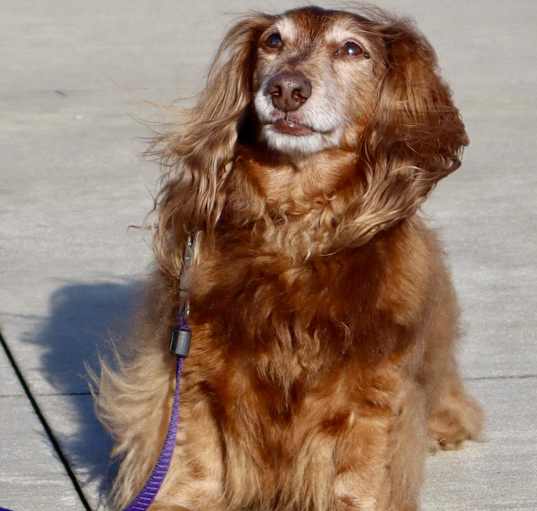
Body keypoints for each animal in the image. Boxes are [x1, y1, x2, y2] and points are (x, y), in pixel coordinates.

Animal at [95, 5, 482, 511]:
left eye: (352, 49)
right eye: (273, 41)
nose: (286, 90)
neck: (293, 230)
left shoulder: (374, 395)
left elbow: (361, 478)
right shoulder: (194, 379)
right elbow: (194, 461)